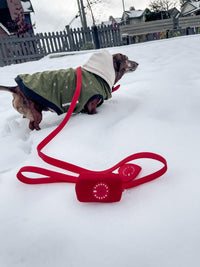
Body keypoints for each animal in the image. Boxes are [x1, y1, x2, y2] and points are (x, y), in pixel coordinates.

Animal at [0, 51, 138, 131]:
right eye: (126, 59)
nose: (137, 63)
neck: (98, 74)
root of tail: (16, 88)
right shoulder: (91, 104)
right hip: (36, 114)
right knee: (33, 125)